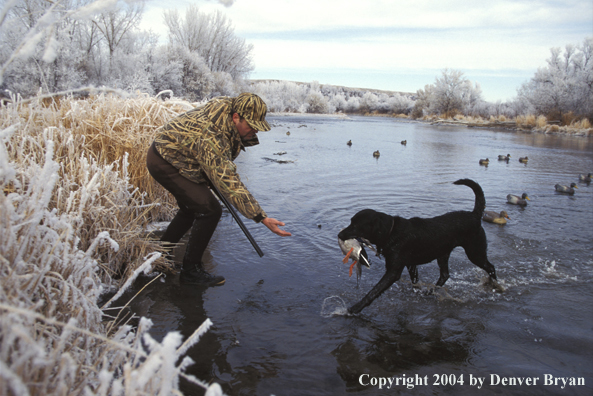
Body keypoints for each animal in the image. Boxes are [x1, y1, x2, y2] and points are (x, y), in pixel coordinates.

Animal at [338, 178, 494, 314]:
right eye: (351, 221)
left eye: (356, 225)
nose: (340, 234)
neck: (391, 231)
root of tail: (475, 215)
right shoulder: (410, 264)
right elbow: (415, 281)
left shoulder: (394, 271)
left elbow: (374, 291)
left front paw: (355, 308)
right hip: (443, 253)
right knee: (445, 275)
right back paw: (431, 291)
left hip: (475, 252)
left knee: (490, 267)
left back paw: (493, 284)